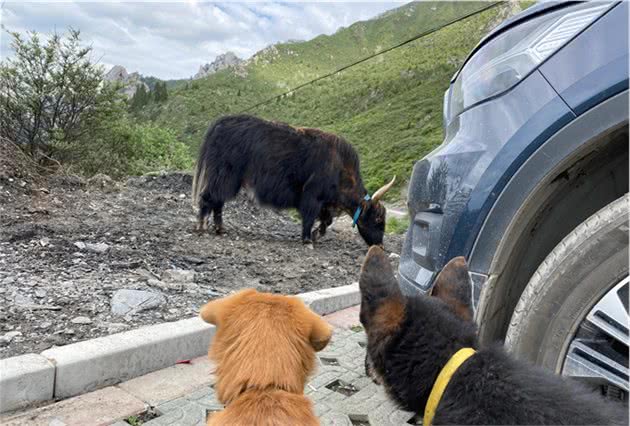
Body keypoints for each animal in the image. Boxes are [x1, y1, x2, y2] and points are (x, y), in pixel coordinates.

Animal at [191, 115, 396, 245]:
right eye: (378, 218)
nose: (380, 245)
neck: (342, 171)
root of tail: (221, 124)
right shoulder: (312, 196)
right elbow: (310, 217)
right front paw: (307, 239)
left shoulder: (325, 203)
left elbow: (327, 221)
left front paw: (316, 235)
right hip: (226, 176)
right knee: (209, 198)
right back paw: (202, 227)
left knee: (218, 202)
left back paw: (220, 229)